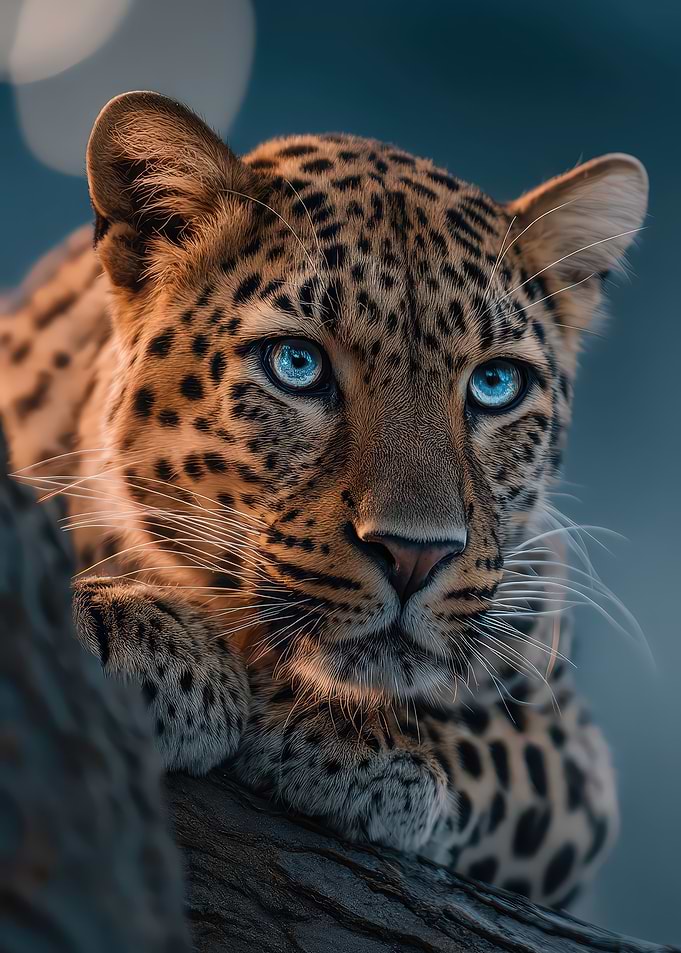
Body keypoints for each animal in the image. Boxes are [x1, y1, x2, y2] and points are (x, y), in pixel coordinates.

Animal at [0, 91, 648, 909]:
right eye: (297, 364)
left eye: (497, 383)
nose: (414, 555)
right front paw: (123, 628)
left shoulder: (572, 757)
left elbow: (497, 738)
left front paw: (357, 739)